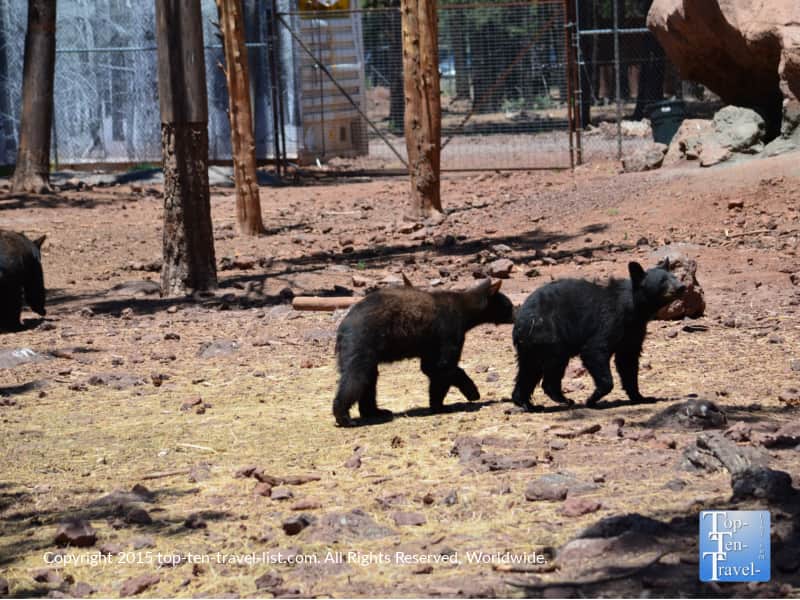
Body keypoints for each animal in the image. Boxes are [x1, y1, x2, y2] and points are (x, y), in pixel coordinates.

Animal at [333, 278, 514, 427]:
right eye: (510, 305)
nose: (516, 313)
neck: (466, 311)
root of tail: (343, 325)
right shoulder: (449, 330)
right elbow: (443, 366)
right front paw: (467, 394)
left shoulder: (431, 343)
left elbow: (430, 367)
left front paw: (438, 403)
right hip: (363, 341)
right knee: (357, 377)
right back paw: (344, 417)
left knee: (369, 379)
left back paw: (375, 411)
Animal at [511, 260, 685, 410]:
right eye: (663, 280)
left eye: (674, 276)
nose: (682, 286)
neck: (633, 309)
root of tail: (520, 319)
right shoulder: (609, 320)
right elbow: (595, 349)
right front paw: (592, 398)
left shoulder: (633, 331)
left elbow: (628, 361)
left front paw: (641, 397)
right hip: (549, 333)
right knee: (552, 365)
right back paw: (562, 399)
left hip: (531, 343)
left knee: (528, 369)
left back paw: (527, 403)